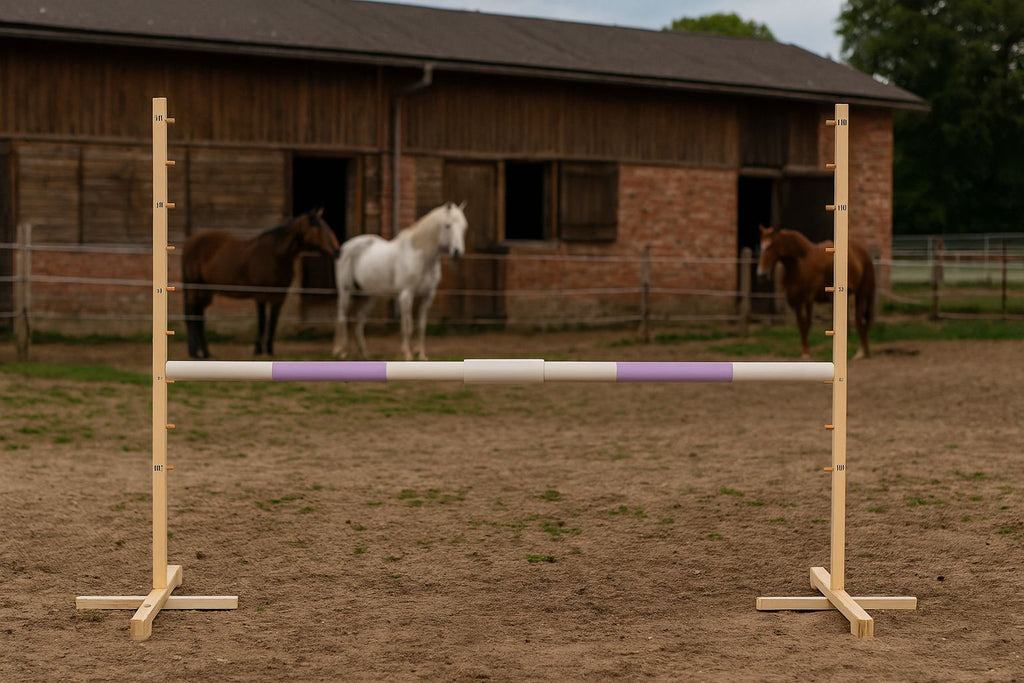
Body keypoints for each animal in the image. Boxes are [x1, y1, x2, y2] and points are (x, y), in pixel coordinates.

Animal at [181, 208, 340, 359]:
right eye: (317, 228)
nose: (337, 251)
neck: (275, 256)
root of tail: (189, 242)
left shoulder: (279, 297)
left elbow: (273, 322)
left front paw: (269, 350)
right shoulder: (260, 295)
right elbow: (262, 321)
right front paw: (258, 350)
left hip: (205, 291)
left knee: (199, 317)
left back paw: (205, 352)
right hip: (194, 288)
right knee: (192, 315)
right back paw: (194, 353)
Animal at [333, 201, 468, 361]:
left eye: (464, 227)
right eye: (448, 225)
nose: (457, 252)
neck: (420, 257)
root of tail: (344, 247)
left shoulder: (427, 296)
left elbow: (421, 326)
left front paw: (422, 355)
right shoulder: (406, 295)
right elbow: (407, 326)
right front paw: (407, 354)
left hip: (368, 296)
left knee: (359, 322)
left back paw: (364, 353)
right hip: (346, 292)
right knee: (342, 318)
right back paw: (342, 352)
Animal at [756, 225, 875, 360]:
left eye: (770, 246)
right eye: (761, 246)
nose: (761, 274)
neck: (799, 264)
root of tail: (864, 252)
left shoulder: (808, 298)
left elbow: (807, 323)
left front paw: (807, 352)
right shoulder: (796, 300)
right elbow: (801, 324)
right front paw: (804, 350)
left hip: (862, 293)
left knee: (861, 321)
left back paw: (863, 352)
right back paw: (863, 351)